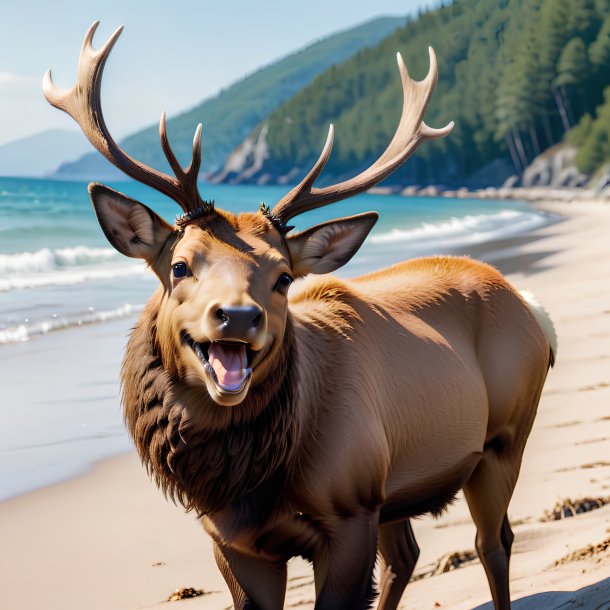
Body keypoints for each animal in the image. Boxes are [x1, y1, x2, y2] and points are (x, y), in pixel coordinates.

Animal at [44, 21, 556, 604]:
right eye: (179, 265)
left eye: (284, 276)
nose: (238, 316)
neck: (254, 488)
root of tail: (533, 309)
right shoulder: (233, 541)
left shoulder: (350, 508)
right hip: (394, 485)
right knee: (408, 555)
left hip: (503, 438)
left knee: (493, 542)